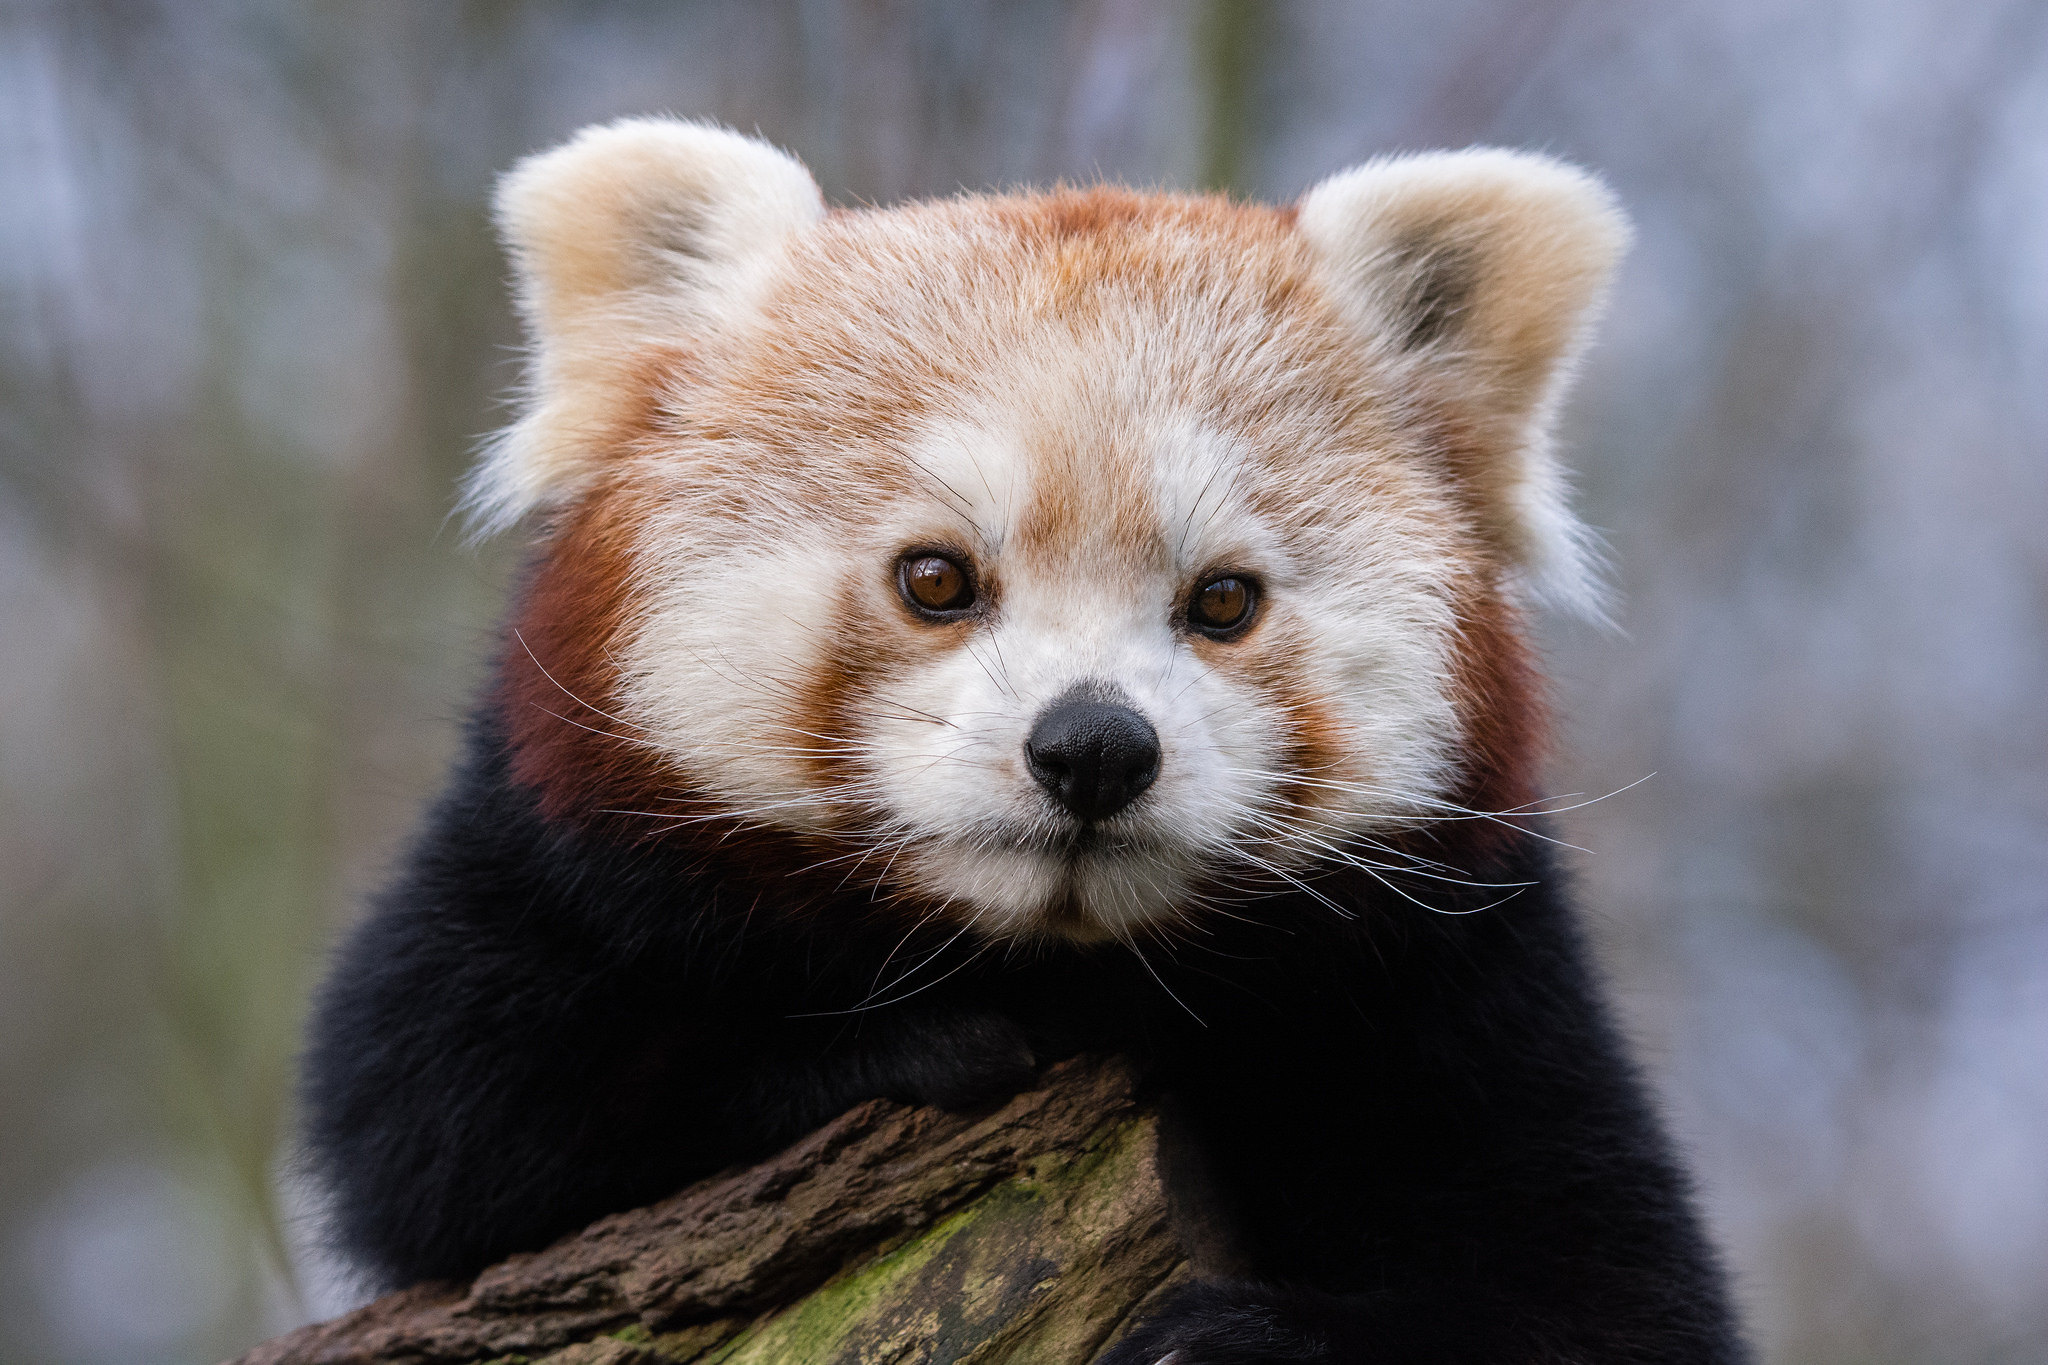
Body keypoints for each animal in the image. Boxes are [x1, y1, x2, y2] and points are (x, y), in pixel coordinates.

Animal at [303, 118, 1747, 1364]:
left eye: (1223, 601)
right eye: (936, 579)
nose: (1094, 747)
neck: (1055, 969)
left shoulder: (1454, 976)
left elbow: (1602, 1301)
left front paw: (1239, 1340)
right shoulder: (546, 876)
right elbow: (454, 1132)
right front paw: (893, 1053)